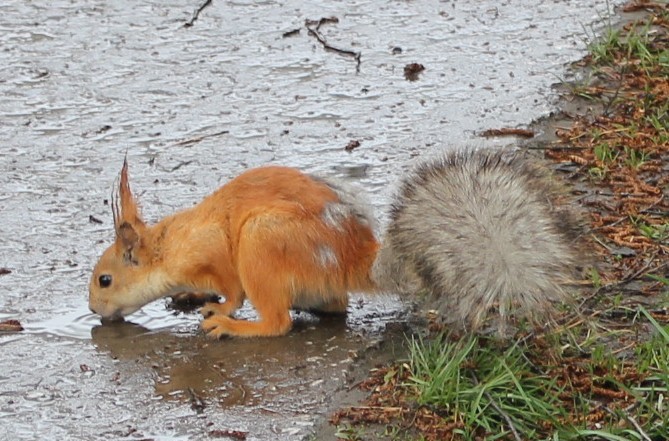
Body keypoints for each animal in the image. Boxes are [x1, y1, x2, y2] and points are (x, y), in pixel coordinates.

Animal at [90, 149, 584, 336]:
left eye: (105, 280)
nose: (95, 311)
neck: (169, 246)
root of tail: (347, 260)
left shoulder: (215, 254)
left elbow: (231, 291)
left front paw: (222, 310)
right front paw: (190, 297)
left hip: (262, 243)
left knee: (277, 322)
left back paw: (237, 328)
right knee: (331, 307)